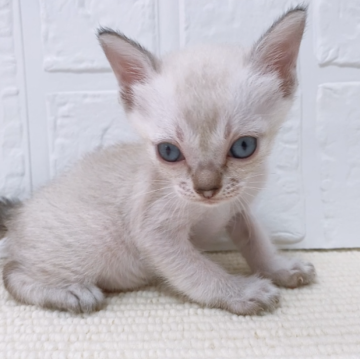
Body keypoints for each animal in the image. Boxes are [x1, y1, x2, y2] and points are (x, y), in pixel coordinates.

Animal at [0, 6, 316, 316]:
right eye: (168, 152)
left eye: (243, 146)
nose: (206, 189)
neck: (212, 209)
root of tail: (18, 216)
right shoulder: (154, 232)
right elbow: (200, 271)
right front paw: (241, 291)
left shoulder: (237, 207)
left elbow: (256, 240)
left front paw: (280, 268)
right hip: (93, 242)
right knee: (13, 274)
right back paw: (70, 292)